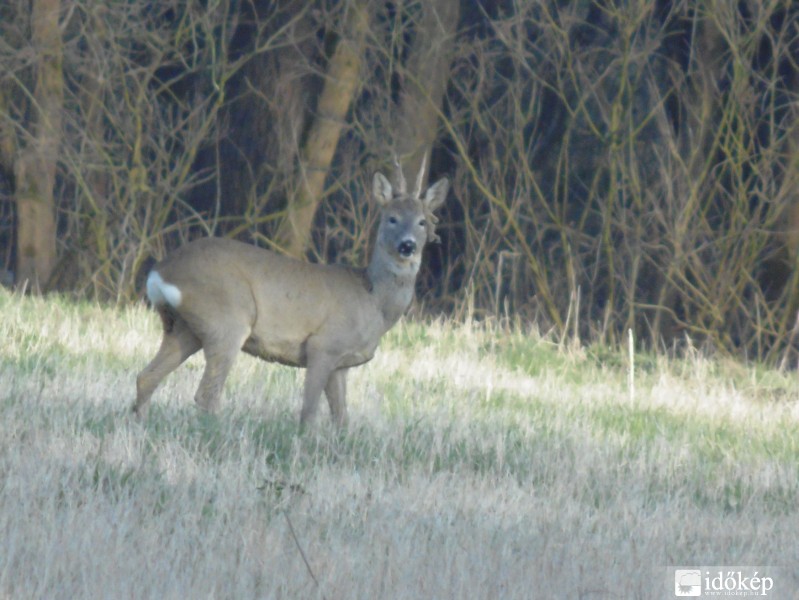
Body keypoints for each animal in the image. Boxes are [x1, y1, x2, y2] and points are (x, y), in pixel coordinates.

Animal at [133, 162, 450, 426]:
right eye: (391, 218)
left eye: (422, 221)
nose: (407, 246)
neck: (373, 301)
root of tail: (160, 271)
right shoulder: (324, 345)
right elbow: (308, 412)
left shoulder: (342, 363)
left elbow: (342, 419)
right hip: (226, 318)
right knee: (206, 394)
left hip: (185, 329)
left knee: (146, 377)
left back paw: (141, 425)